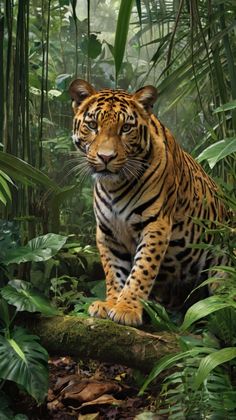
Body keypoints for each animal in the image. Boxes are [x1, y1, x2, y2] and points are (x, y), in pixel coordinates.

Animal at [68, 79, 227, 326]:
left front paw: (126, 308)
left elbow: (142, 269)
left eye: (126, 128)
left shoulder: (156, 224)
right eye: (93, 125)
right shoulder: (107, 231)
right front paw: (110, 303)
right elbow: (114, 271)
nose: (106, 157)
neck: (115, 186)